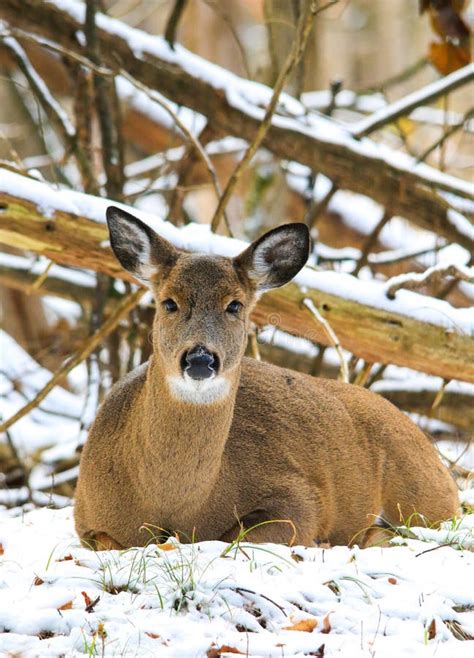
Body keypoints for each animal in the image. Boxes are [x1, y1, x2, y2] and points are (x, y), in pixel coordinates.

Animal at [75, 206, 460, 548]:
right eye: (169, 302)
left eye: (235, 305)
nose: (200, 358)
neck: (174, 505)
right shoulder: (85, 518)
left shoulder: (298, 494)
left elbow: (242, 535)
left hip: (423, 494)